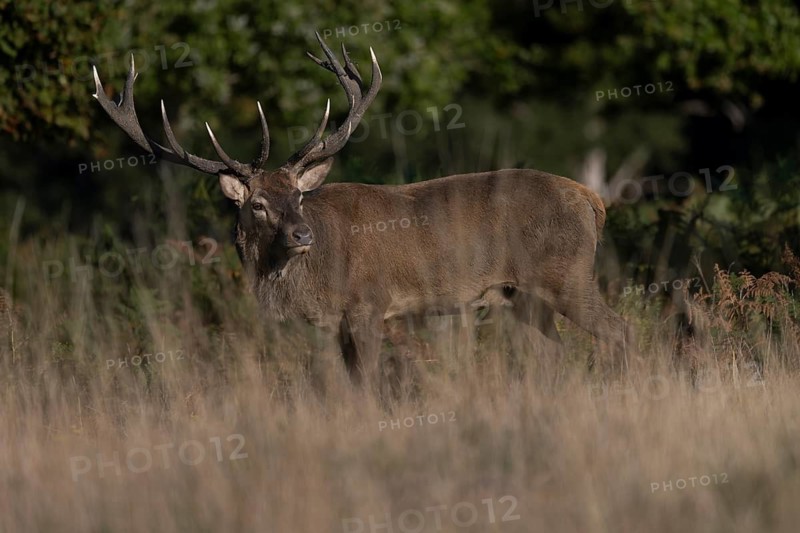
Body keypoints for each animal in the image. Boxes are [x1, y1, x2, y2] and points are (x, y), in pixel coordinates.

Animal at [92, 33, 633, 391]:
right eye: (259, 205)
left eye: (300, 196)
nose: (302, 235)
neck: (311, 282)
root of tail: (592, 200)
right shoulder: (335, 325)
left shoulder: (369, 303)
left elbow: (368, 383)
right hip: (523, 296)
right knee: (557, 351)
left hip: (566, 273)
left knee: (618, 331)